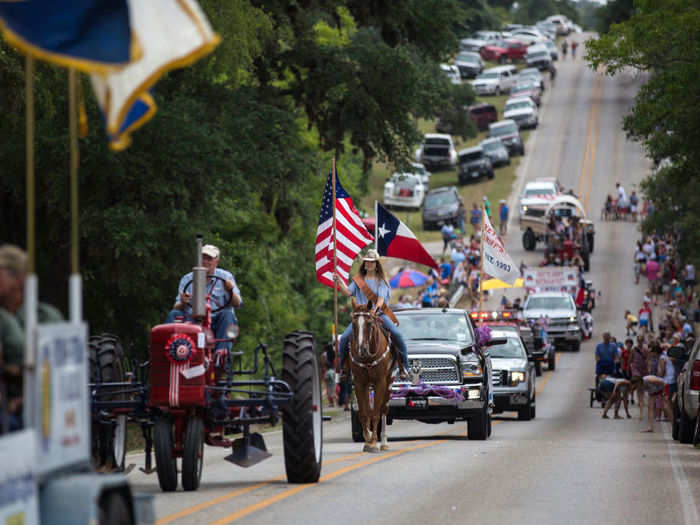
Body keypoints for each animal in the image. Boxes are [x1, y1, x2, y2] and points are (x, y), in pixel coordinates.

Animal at [348, 298, 396, 450]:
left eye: (369, 324)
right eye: (353, 324)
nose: (361, 349)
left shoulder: (380, 381)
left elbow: (376, 412)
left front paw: (374, 442)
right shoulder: (359, 383)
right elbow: (364, 413)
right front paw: (368, 438)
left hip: (388, 382)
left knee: (384, 409)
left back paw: (384, 442)